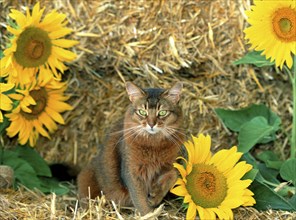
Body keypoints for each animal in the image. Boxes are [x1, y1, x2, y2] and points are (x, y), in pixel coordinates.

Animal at [77, 81, 185, 215]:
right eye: (142, 112)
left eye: (162, 113)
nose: (151, 124)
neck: (153, 144)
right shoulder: (131, 171)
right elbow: (139, 199)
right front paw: (148, 214)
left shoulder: (171, 164)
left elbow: (174, 174)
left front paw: (155, 196)